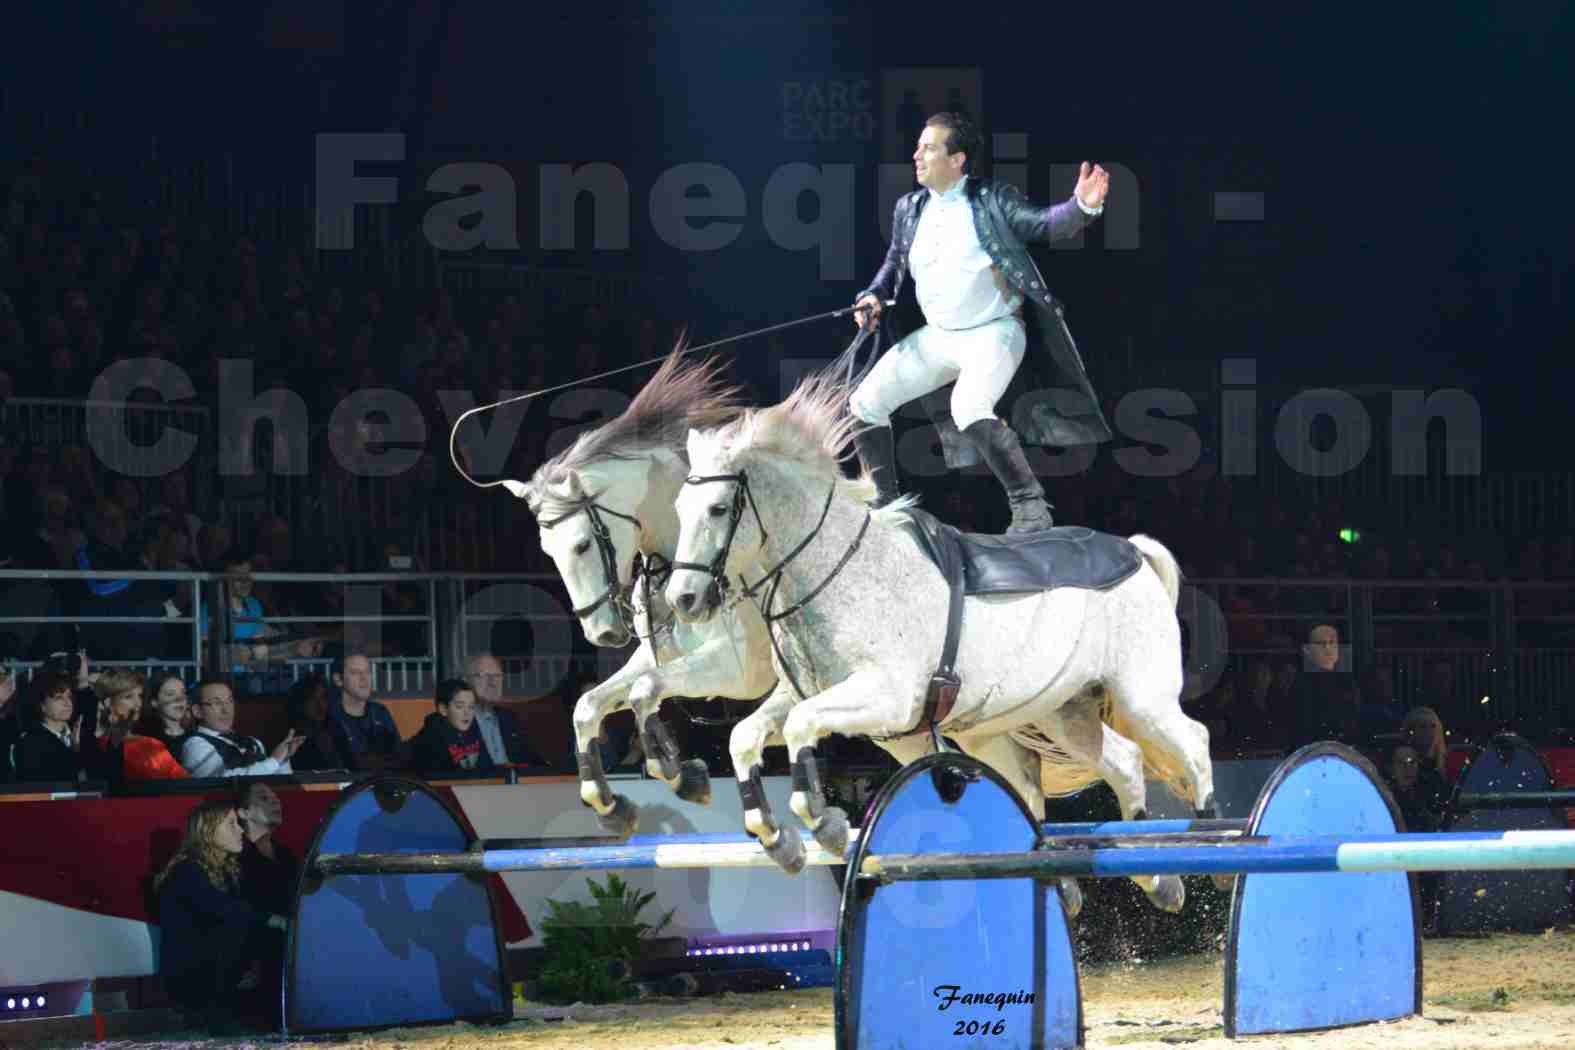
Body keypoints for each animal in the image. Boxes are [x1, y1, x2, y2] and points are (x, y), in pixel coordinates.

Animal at [664, 371, 1215, 913]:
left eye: (718, 509)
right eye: (678, 508)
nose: (683, 599)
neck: (840, 572)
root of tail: (1134, 552)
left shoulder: (888, 697)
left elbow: (801, 727)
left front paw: (824, 823)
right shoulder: (803, 694)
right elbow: (744, 737)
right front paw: (777, 837)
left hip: (1141, 696)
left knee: (1193, 743)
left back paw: (1207, 838)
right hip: (1064, 711)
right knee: (1123, 762)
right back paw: (1154, 878)